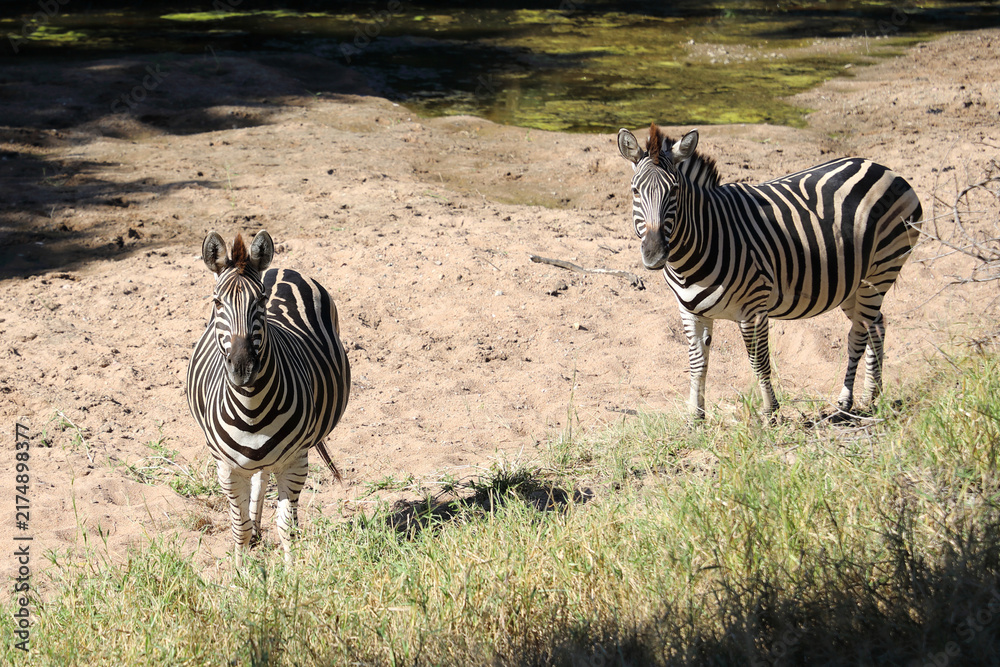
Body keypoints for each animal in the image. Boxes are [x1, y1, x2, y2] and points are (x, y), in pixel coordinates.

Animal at [186, 230, 350, 565]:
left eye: (260, 301)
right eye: (217, 302)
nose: (242, 368)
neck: (252, 411)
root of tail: (278, 268)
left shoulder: (296, 462)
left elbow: (287, 526)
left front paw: (292, 574)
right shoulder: (226, 469)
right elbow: (239, 528)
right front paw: (241, 573)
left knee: (264, 481)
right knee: (259, 482)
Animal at [617, 123, 922, 420]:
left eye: (675, 191)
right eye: (635, 191)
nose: (654, 254)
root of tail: (882, 167)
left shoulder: (753, 310)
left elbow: (759, 360)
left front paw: (770, 412)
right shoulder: (691, 312)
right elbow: (697, 362)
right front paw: (696, 416)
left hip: (880, 271)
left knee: (859, 334)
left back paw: (847, 402)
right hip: (851, 283)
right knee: (878, 325)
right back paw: (872, 395)